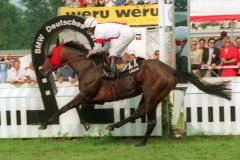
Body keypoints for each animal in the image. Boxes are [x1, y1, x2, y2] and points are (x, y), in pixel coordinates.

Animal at [39, 41, 231, 146]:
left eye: (50, 55)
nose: (41, 69)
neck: (88, 67)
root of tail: (172, 70)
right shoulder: (91, 97)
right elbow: (77, 107)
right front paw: (86, 124)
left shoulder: (86, 94)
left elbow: (65, 107)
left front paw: (45, 123)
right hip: (148, 94)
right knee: (138, 113)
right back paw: (114, 126)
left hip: (153, 95)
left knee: (150, 120)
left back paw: (140, 142)